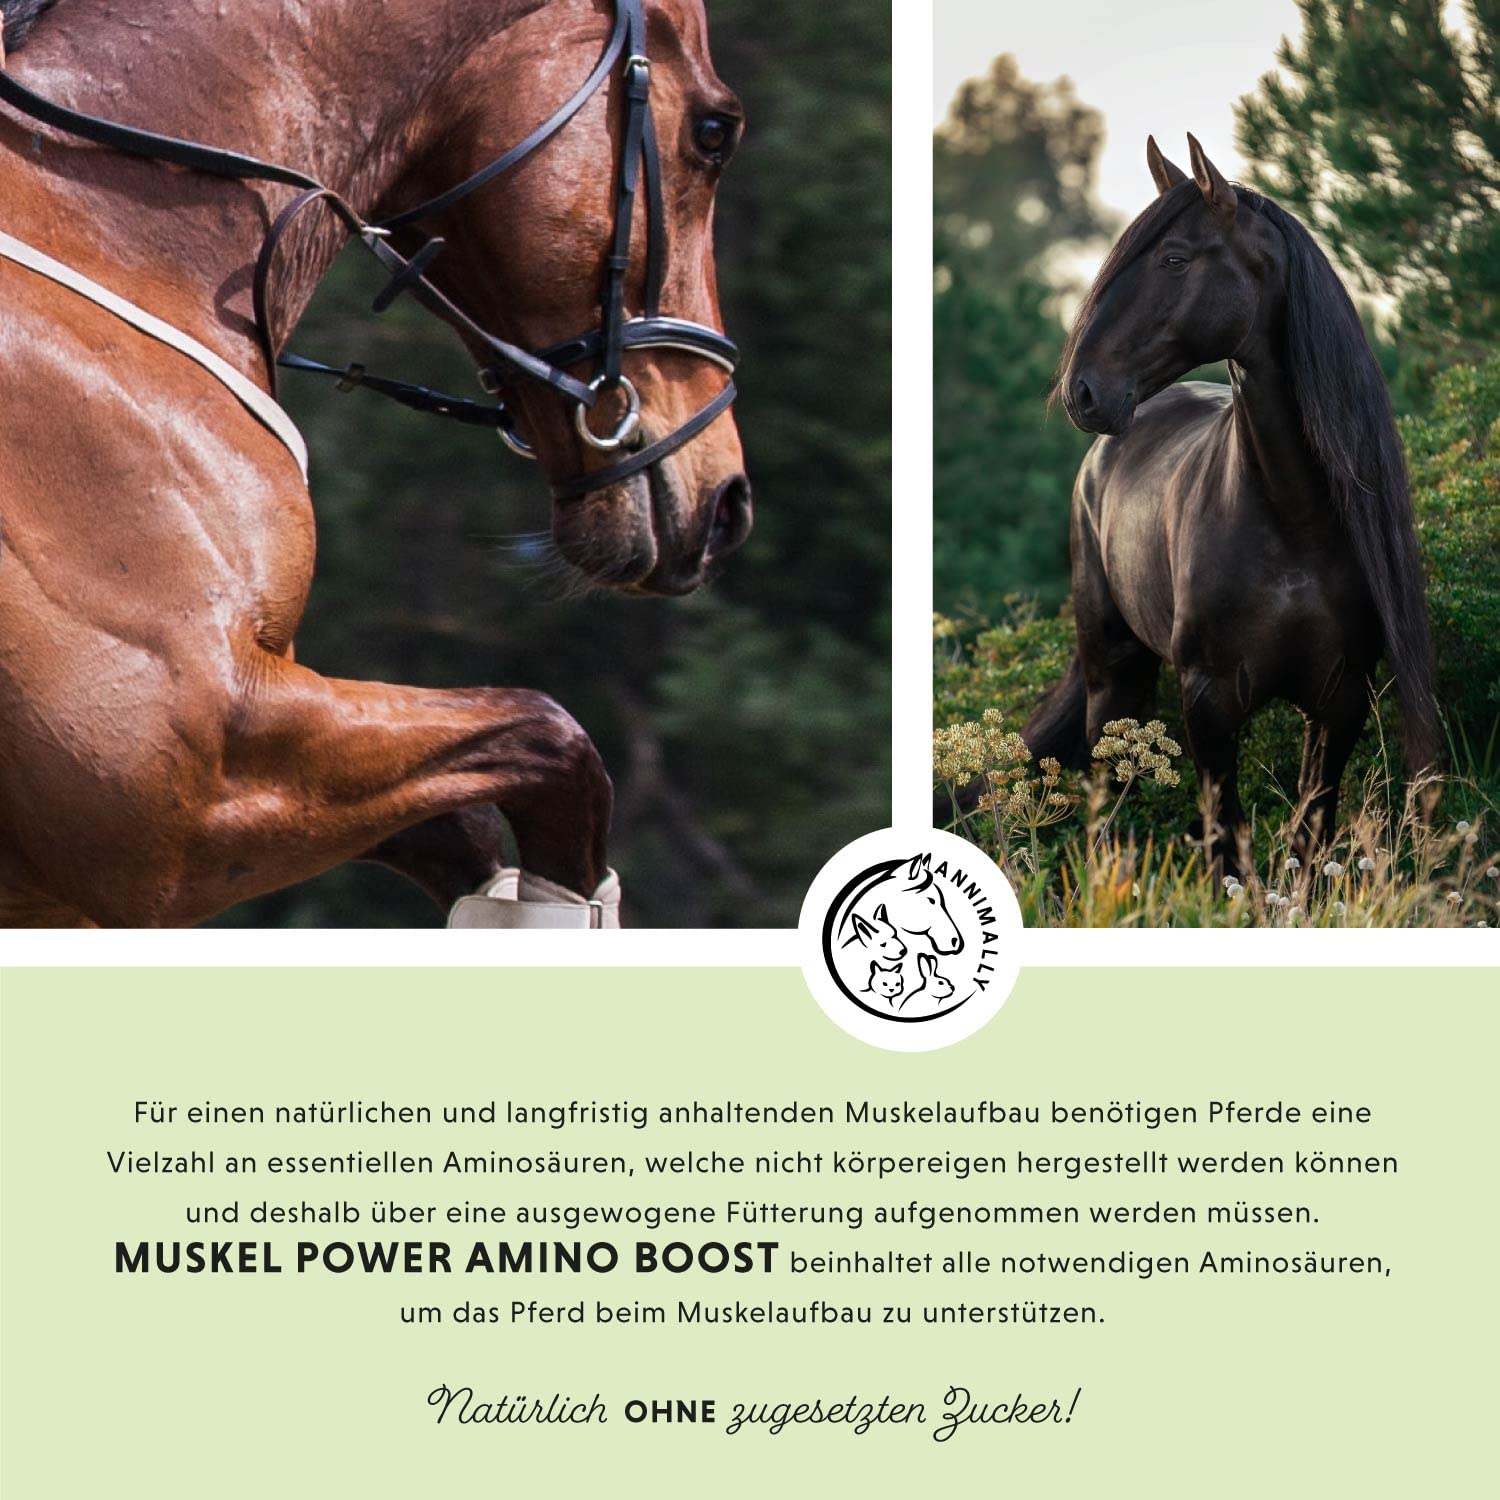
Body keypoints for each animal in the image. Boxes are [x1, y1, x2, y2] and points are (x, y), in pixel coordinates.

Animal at [0, 0, 750, 926]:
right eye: (715, 132)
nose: (726, 506)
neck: (113, 229)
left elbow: (474, 822)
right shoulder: (165, 784)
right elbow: (553, 745)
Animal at [1023, 134, 1437, 869]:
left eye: (1175, 258)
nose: (1083, 391)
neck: (1293, 519)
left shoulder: (1339, 702)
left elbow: (1308, 839)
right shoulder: (1210, 702)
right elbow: (1225, 846)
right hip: (1114, 677)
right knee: (1108, 805)